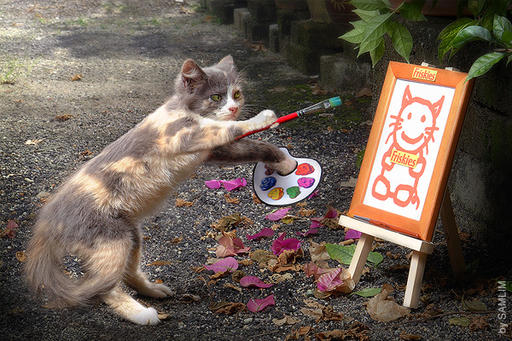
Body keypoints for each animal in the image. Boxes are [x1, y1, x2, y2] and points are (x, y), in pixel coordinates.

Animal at [25, 55, 296, 324]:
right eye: (216, 97)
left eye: (237, 94)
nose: (233, 108)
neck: (182, 109)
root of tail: (48, 220)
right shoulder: (184, 134)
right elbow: (230, 128)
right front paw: (263, 118)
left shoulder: (213, 150)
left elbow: (253, 146)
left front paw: (284, 162)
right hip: (110, 239)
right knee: (105, 288)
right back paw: (140, 314)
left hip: (130, 233)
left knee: (127, 272)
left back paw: (153, 291)